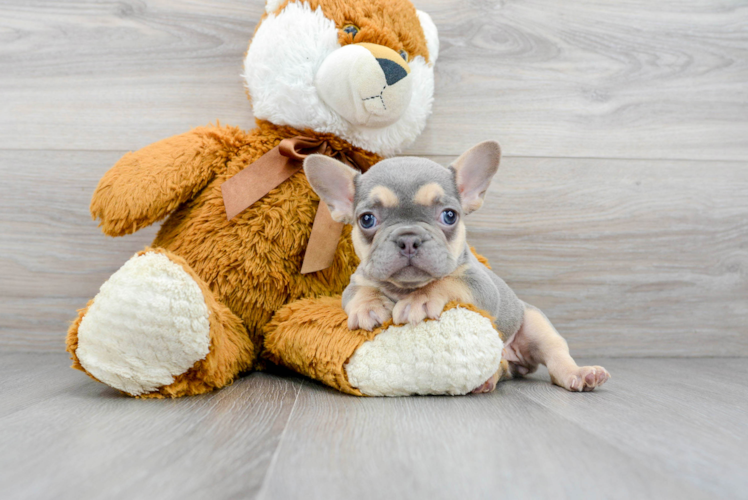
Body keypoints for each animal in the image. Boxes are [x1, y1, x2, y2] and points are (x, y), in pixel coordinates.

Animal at [300, 143, 612, 392]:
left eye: (449, 216)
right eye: (366, 220)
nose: (408, 238)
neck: (405, 287)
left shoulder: (481, 284)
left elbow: (446, 281)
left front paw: (420, 300)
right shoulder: (358, 281)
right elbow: (361, 293)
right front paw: (369, 307)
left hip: (536, 325)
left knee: (557, 358)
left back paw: (581, 374)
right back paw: (489, 379)